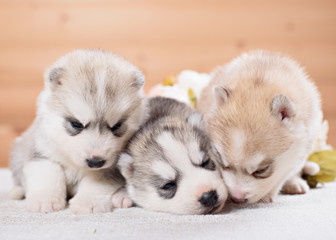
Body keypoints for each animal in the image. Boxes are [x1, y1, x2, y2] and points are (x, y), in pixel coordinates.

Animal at [9, 49, 144, 214]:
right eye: (76, 124)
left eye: (116, 126)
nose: (95, 161)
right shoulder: (40, 151)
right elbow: (47, 174)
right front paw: (45, 200)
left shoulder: (110, 167)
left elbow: (96, 182)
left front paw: (88, 202)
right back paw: (17, 191)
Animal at [197, 50, 322, 204]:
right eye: (221, 161)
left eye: (261, 170)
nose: (236, 198)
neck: (263, 73)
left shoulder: (304, 145)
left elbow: (285, 173)